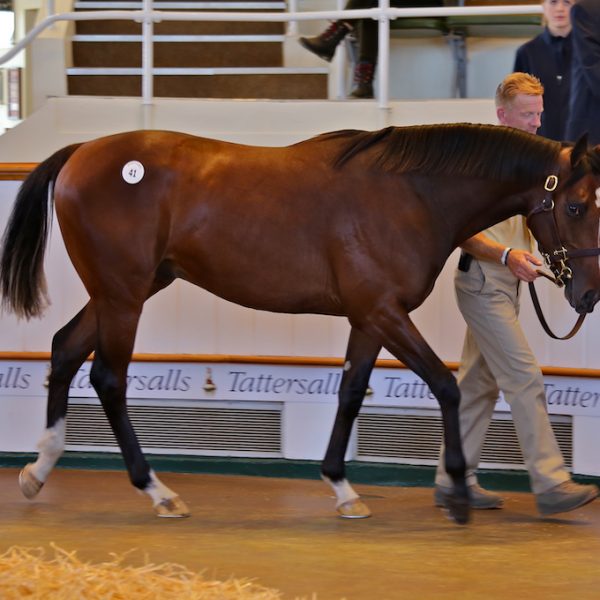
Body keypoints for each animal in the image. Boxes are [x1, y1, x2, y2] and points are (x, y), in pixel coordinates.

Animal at [3, 124, 600, 524]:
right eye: (575, 207)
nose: (588, 294)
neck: (408, 194)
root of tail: (82, 152)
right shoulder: (384, 311)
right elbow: (445, 385)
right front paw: (455, 495)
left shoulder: (368, 318)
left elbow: (352, 392)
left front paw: (343, 488)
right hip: (124, 295)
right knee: (108, 377)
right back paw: (156, 491)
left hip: (126, 291)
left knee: (64, 349)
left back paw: (39, 470)